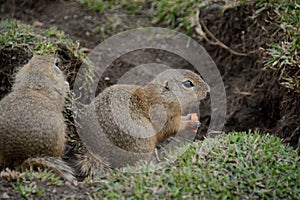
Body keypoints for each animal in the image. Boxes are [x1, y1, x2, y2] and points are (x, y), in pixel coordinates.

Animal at [76, 68, 210, 177]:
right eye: (188, 83)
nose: (208, 89)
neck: (164, 96)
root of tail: (98, 152)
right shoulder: (163, 117)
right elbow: (170, 129)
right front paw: (191, 124)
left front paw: (189, 117)